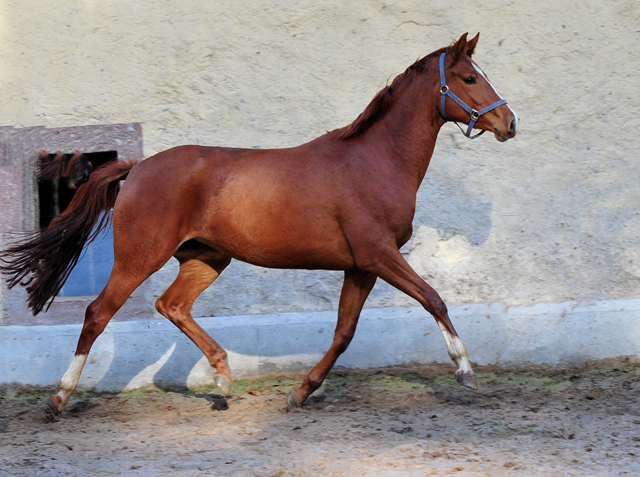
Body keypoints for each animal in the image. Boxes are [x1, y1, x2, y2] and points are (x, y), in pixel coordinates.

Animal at [0, 33, 516, 414]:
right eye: (469, 77)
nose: (509, 123)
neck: (374, 161)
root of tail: (137, 169)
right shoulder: (379, 255)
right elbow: (433, 298)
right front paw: (465, 370)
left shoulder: (360, 267)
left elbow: (344, 333)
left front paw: (300, 392)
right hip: (139, 258)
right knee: (97, 314)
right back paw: (59, 397)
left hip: (207, 258)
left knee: (172, 305)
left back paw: (223, 379)